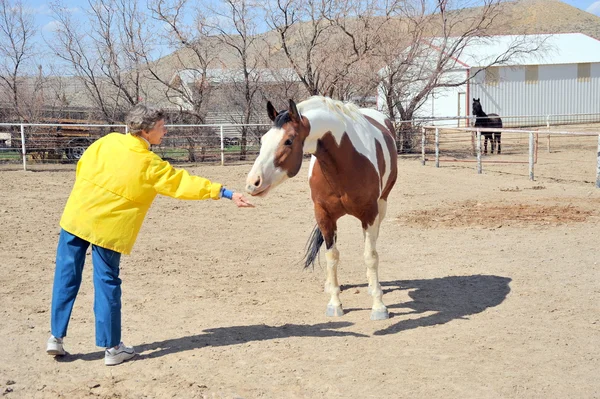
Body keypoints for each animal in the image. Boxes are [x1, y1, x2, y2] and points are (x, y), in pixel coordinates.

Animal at [246, 97, 396, 322]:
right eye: (263, 140)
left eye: (288, 141)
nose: (253, 183)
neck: (346, 162)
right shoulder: (324, 216)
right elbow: (331, 257)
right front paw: (335, 303)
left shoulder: (370, 214)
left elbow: (370, 256)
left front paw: (379, 306)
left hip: (382, 205)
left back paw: (372, 285)